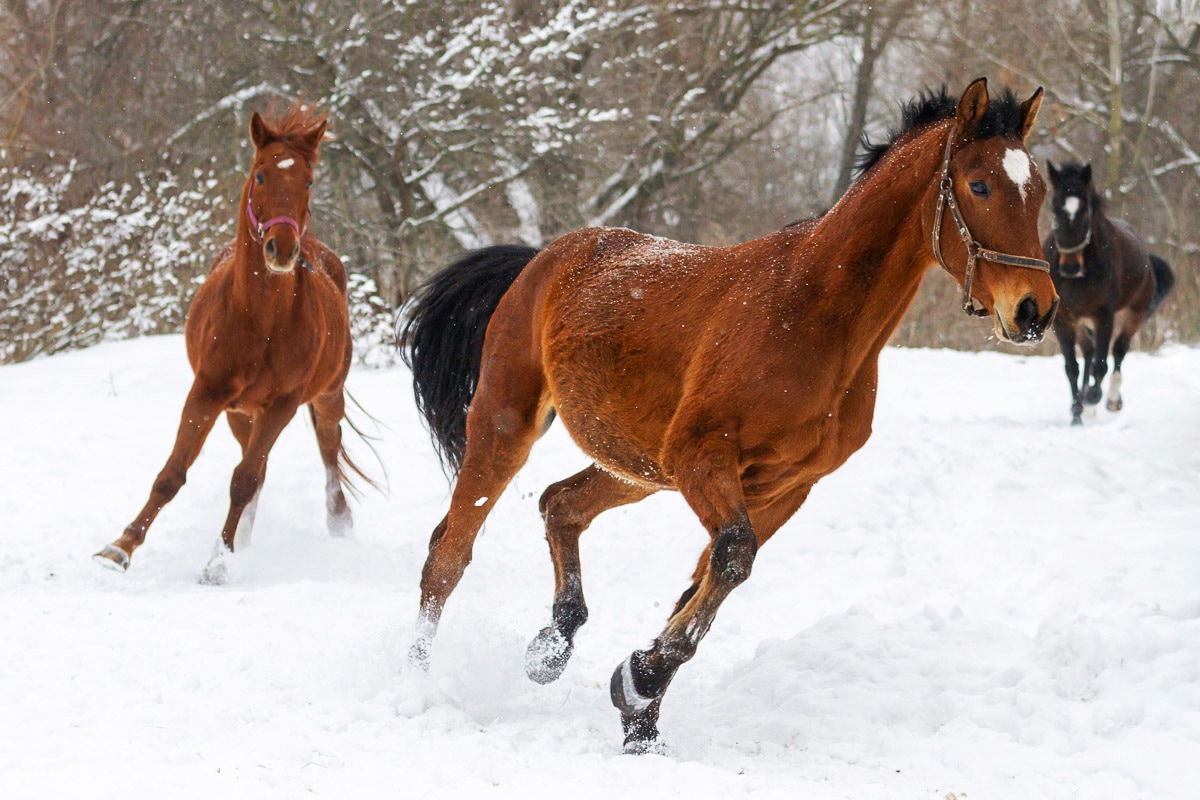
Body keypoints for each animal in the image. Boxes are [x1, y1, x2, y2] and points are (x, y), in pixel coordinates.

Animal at [94, 105, 366, 583]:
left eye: (309, 181)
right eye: (260, 175)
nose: (281, 249)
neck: (260, 320)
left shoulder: (284, 404)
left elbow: (242, 481)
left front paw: (217, 563)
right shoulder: (207, 392)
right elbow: (172, 474)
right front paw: (120, 547)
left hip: (327, 396)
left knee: (327, 450)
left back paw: (337, 521)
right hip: (240, 414)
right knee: (259, 464)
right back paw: (247, 537)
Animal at [400, 79, 1057, 752]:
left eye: (1039, 191)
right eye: (979, 185)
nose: (1034, 311)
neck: (813, 316)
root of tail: (541, 260)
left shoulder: (783, 486)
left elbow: (706, 584)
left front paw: (640, 713)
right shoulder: (703, 459)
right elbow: (733, 558)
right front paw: (638, 683)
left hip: (638, 467)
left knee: (559, 504)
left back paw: (550, 649)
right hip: (507, 426)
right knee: (447, 553)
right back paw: (417, 685)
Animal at [1043, 161, 1175, 424]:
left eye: (1085, 210)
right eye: (1055, 209)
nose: (1070, 267)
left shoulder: (1104, 315)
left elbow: (1101, 364)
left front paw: (1092, 398)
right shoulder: (1063, 319)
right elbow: (1071, 367)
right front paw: (1076, 413)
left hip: (1134, 312)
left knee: (1119, 350)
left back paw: (1111, 400)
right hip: (1081, 321)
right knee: (1089, 351)